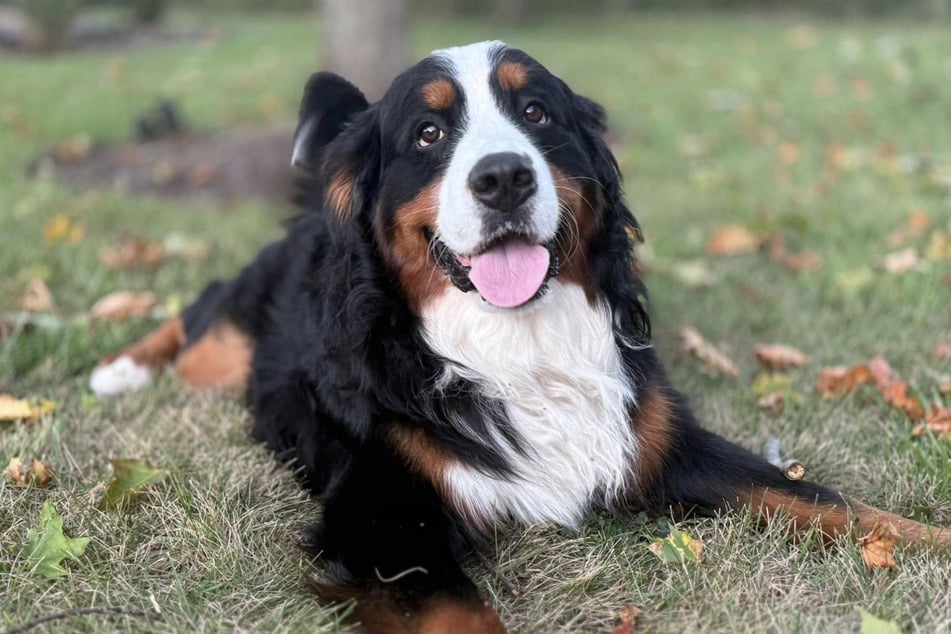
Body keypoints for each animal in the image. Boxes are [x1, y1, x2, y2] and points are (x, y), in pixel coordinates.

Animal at [91, 40, 951, 632]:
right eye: (428, 132)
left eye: (535, 113)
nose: (503, 176)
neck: (518, 345)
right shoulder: (381, 521)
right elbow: (460, 617)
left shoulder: (668, 445)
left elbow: (833, 502)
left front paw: (931, 538)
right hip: (228, 344)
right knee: (203, 313)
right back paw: (118, 369)